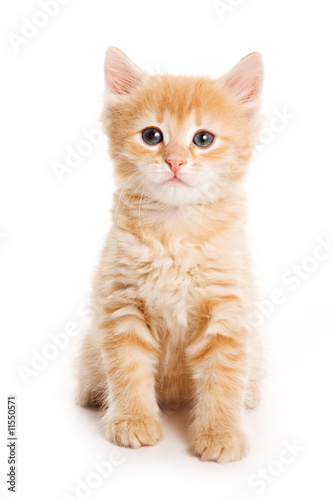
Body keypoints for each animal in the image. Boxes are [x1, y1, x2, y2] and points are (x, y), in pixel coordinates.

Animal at [76, 47, 264, 464]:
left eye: (203, 138)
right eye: (152, 136)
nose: (175, 161)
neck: (175, 232)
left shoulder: (227, 312)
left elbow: (224, 379)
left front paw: (221, 432)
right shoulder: (121, 306)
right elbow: (127, 371)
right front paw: (132, 421)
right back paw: (94, 390)